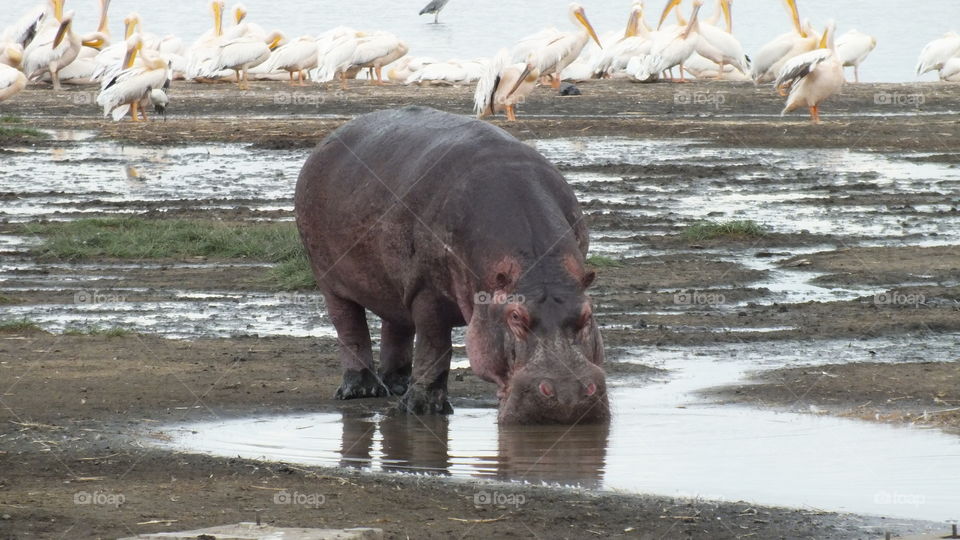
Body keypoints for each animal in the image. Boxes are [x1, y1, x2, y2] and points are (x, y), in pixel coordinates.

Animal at [294, 106, 608, 424]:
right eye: (515, 316)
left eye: (587, 315)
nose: (567, 396)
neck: (538, 270)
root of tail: (328, 139)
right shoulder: (427, 291)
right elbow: (434, 346)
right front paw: (421, 409)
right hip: (328, 279)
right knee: (349, 327)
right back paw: (360, 390)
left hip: (394, 285)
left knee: (396, 326)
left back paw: (397, 386)